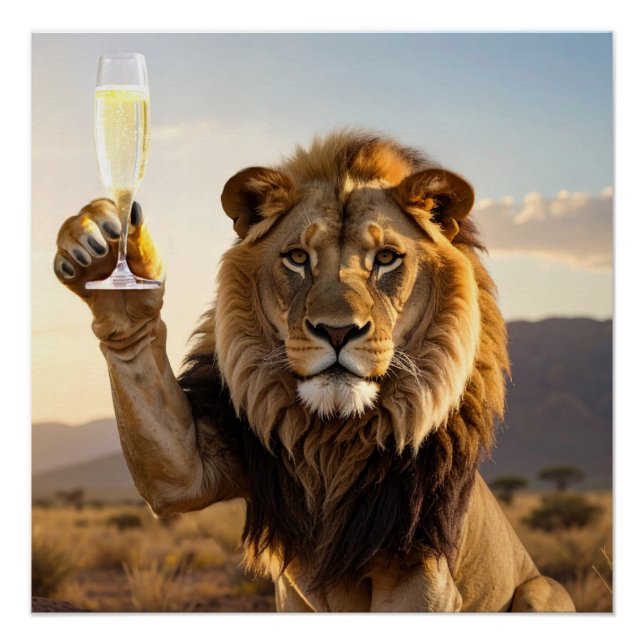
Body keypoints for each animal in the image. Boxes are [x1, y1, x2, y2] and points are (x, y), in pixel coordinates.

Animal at [54, 130, 575, 611]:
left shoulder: (420, 567)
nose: (337, 331)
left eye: (386, 258)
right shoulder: (203, 462)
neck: (334, 438)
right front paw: (101, 253)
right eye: (298, 258)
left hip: (543, 590)